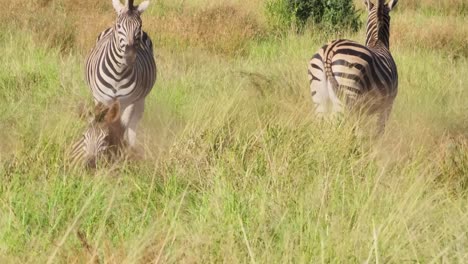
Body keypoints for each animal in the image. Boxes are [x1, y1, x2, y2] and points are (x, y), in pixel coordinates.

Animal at [85, 0, 156, 148]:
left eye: (139, 26)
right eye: (118, 26)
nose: (129, 56)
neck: (118, 74)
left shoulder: (128, 102)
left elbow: (122, 126)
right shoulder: (101, 99)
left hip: (141, 99)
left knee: (133, 123)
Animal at [308, 0, 400, 135]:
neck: (377, 42)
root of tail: (330, 50)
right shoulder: (387, 104)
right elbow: (379, 130)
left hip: (319, 93)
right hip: (348, 92)